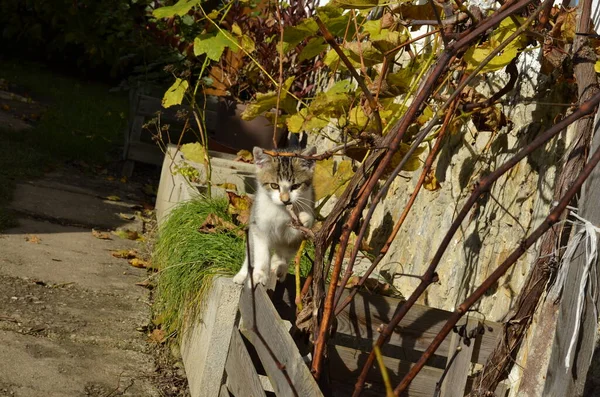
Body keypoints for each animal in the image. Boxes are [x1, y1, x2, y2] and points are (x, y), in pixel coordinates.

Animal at [233, 145, 318, 284]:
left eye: (296, 186)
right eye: (274, 185)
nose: (285, 200)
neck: (281, 211)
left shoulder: (295, 235)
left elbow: (290, 244)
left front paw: (305, 218)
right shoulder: (259, 225)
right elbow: (261, 251)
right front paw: (260, 274)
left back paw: (280, 268)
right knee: (250, 252)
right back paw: (242, 275)